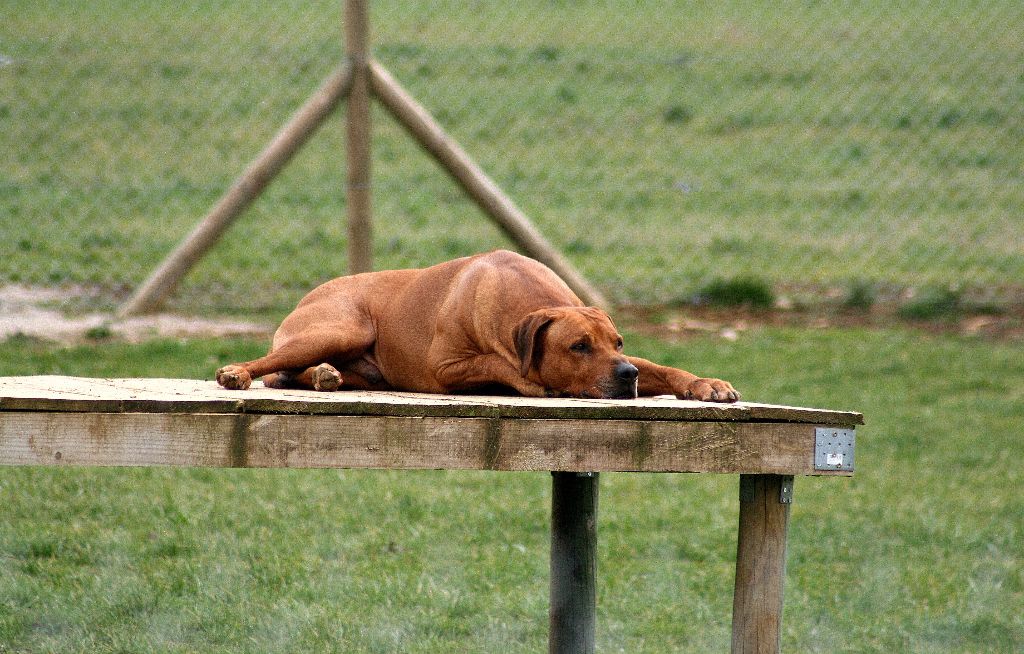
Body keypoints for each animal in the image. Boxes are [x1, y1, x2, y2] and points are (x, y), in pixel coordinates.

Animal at [216, 250, 739, 402]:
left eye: (618, 343)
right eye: (578, 346)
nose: (627, 376)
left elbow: (666, 368)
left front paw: (706, 383)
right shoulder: (445, 366)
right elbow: (503, 365)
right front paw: (531, 381)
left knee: (292, 373)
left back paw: (326, 376)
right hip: (341, 327)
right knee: (271, 367)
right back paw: (237, 373)